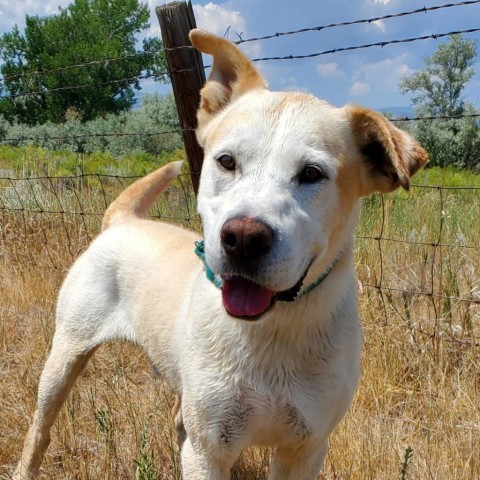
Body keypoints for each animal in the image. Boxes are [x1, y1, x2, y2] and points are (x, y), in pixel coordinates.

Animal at [14, 31, 428, 480]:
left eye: (312, 174)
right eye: (226, 161)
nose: (243, 238)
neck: (271, 332)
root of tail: (122, 220)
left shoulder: (305, 449)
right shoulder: (209, 451)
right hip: (65, 356)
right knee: (40, 429)